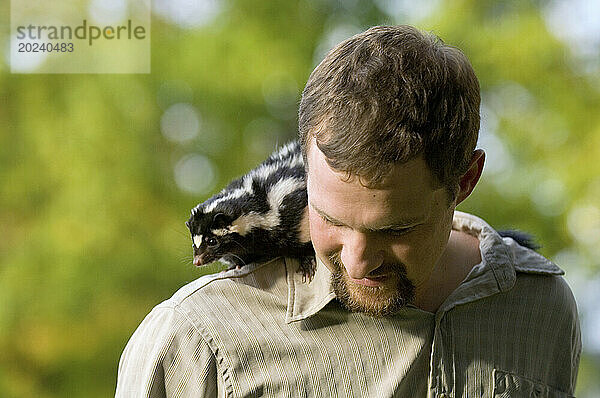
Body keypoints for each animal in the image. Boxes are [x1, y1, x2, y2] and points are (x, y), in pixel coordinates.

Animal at [184, 141, 540, 282]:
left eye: (212, 240)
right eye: (196, 243)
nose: (198, 260)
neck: (256, 200)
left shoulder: (293, 205)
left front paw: (306, 261)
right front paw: (234, 264)